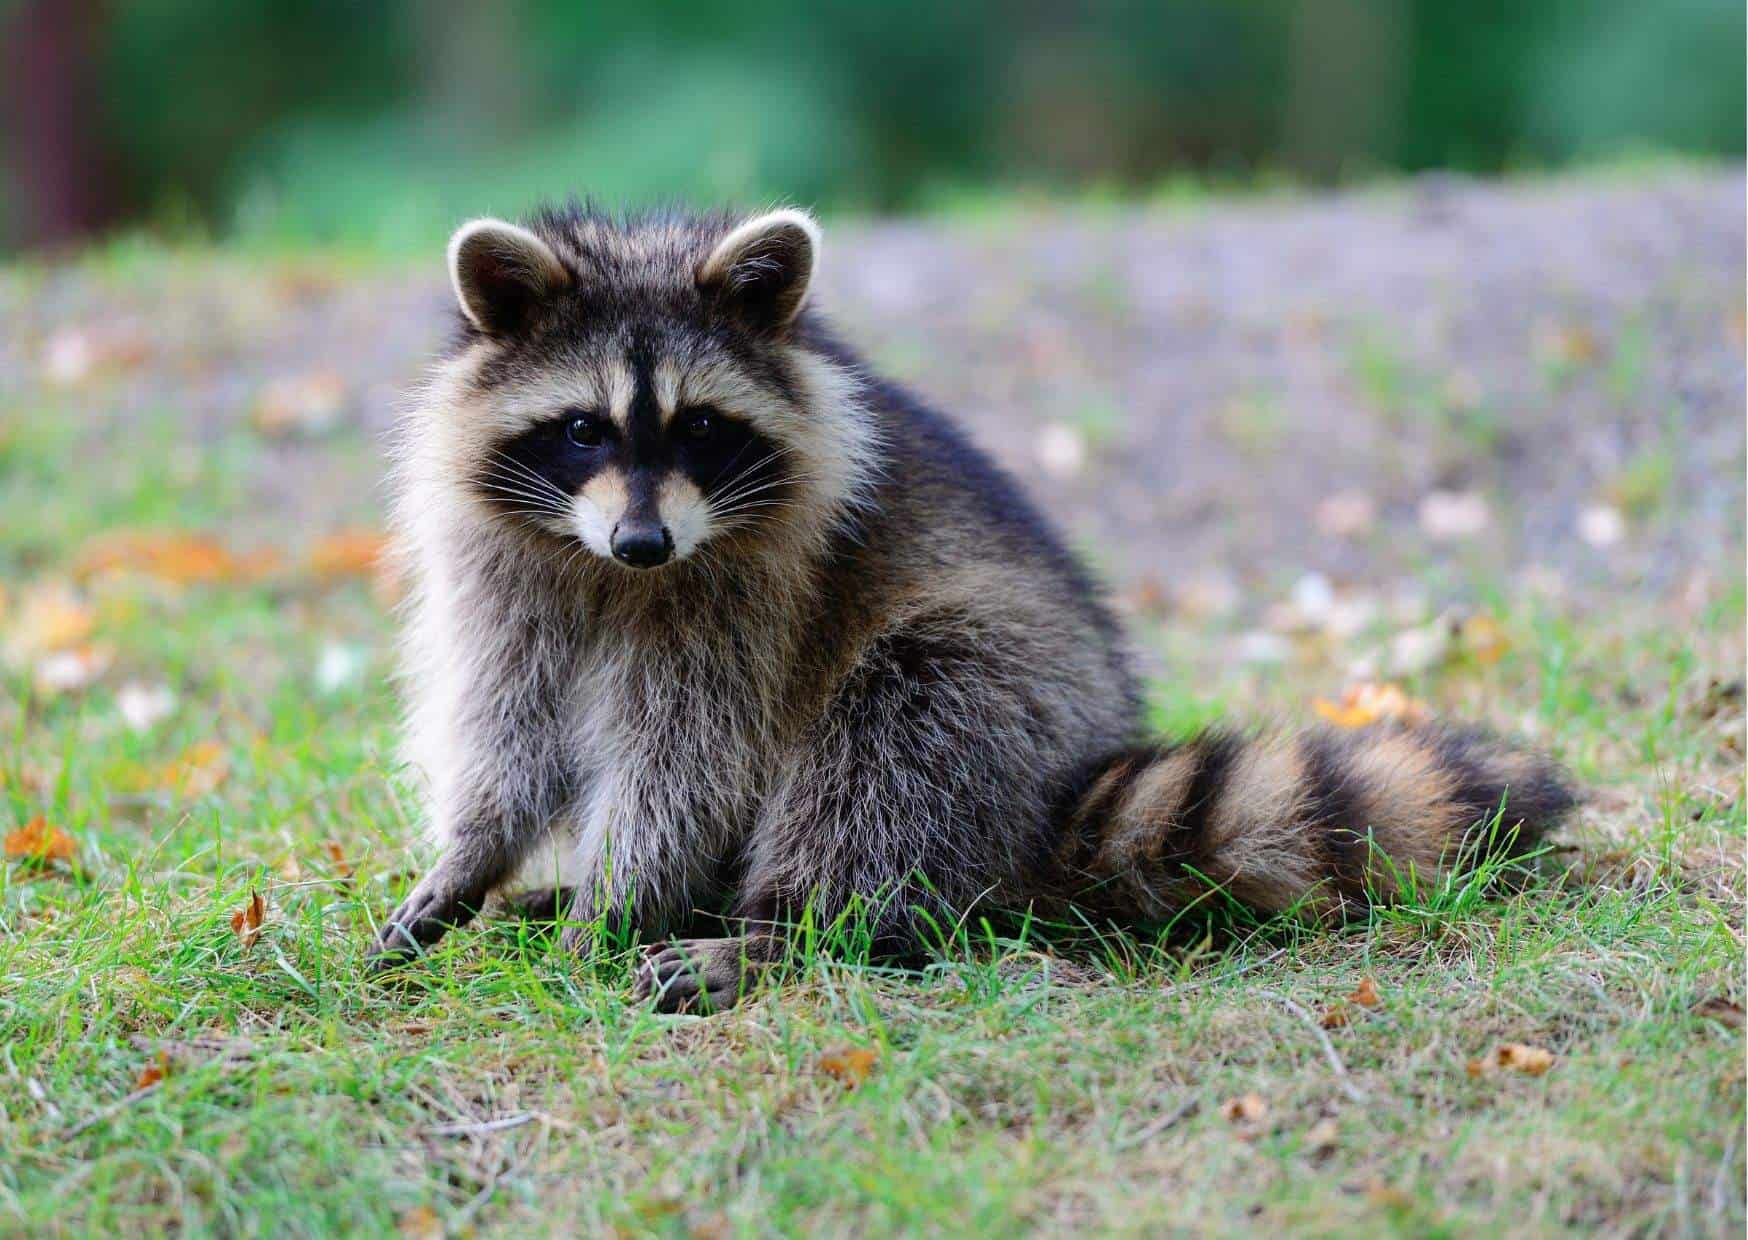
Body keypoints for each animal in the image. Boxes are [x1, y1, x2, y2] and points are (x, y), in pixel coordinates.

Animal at [372, 203, 1575, 1011]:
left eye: (700, 428)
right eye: (583, 429)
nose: (643, 542)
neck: (611, 572)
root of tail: (1067, 785)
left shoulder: (752, 591)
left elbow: (688, 758)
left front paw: (620, 903)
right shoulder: (505, 570)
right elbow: (508, 726)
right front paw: (476, 856)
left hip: (1001, 689)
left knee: (893, 742)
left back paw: (781, 929)